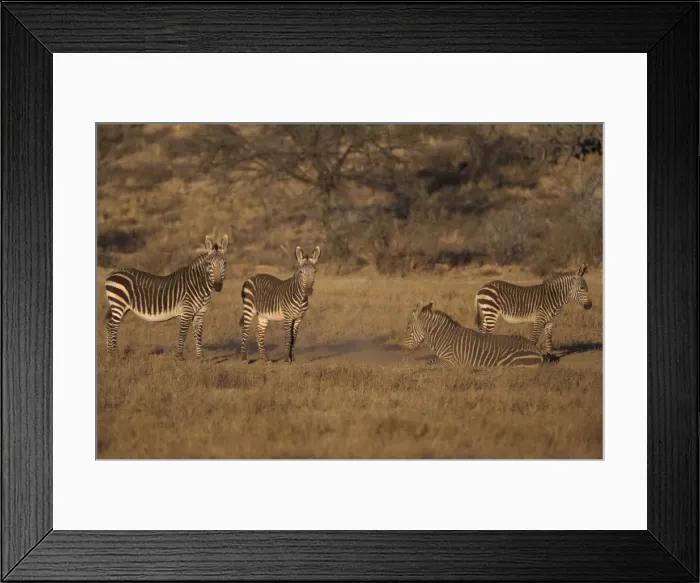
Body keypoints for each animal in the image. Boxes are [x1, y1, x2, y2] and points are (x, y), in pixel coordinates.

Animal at [403, 301, 547, 367]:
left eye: (408, 327)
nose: (405, 350)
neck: (443, 337)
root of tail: (537, 351)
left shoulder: (451, 361)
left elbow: (428, 362)